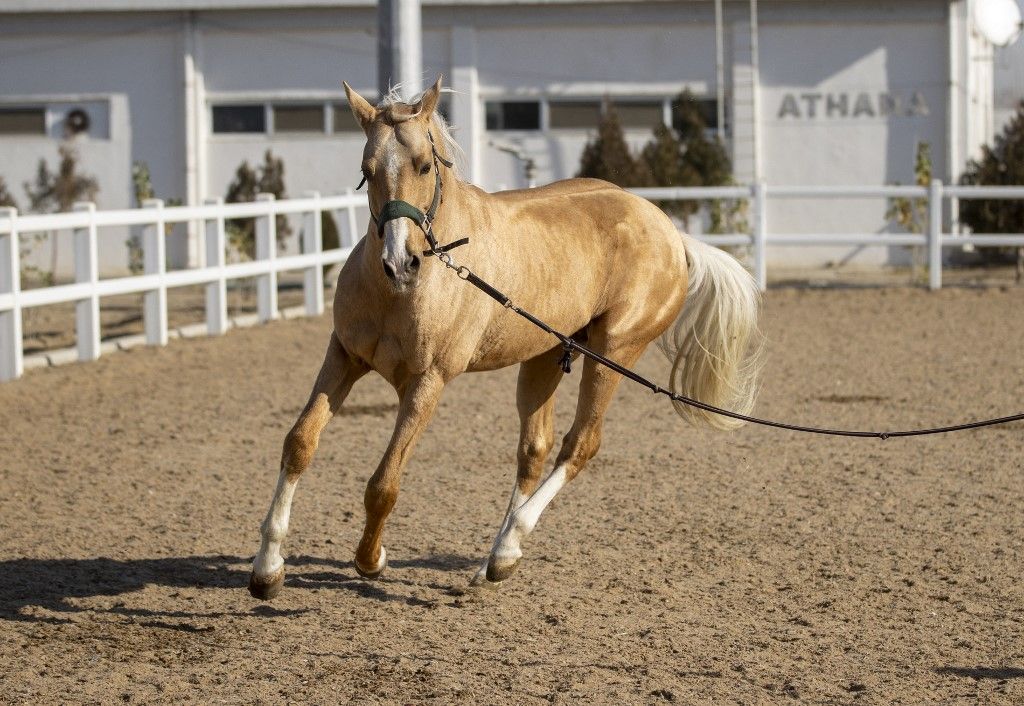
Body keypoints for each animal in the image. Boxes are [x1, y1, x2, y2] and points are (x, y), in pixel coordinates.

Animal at [245, 78, 761, 598]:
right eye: (366, 171)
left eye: (424, 165)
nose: (399, 262)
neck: (400, 292)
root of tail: (671, 233)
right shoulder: (344, 356)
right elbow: (299, 443)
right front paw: (267, 568)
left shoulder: (428, 381)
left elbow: (383, 483)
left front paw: (371, 560)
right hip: (546, 355)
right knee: (534, 450)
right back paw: (494, 561)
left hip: (614, 352)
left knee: (580, 444)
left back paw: (506, 550)